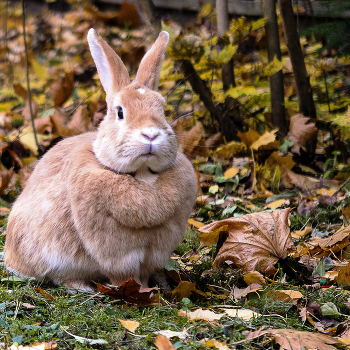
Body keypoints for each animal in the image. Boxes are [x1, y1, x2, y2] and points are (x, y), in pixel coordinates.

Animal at [4, 30, 197, 292]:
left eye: (163, 110)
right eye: (120, 112)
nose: (150, 134)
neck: (143, 177)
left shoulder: (156, 249)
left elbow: (145, 272)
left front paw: (154, 287)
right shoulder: (116, 253)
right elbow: (124, 275)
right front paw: (140, 291)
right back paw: (83, 287)